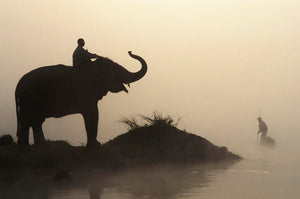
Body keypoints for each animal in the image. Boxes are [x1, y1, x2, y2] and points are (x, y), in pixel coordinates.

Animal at [15, 51, 147, 148]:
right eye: (116, 70)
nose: (130, 51)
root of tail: (18, 86)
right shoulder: (85, 93)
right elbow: (92, 113)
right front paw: (95, 146)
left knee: (35, 121)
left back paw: (40, 146)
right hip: (29, 99)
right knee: (28, 120)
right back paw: (26, 147)